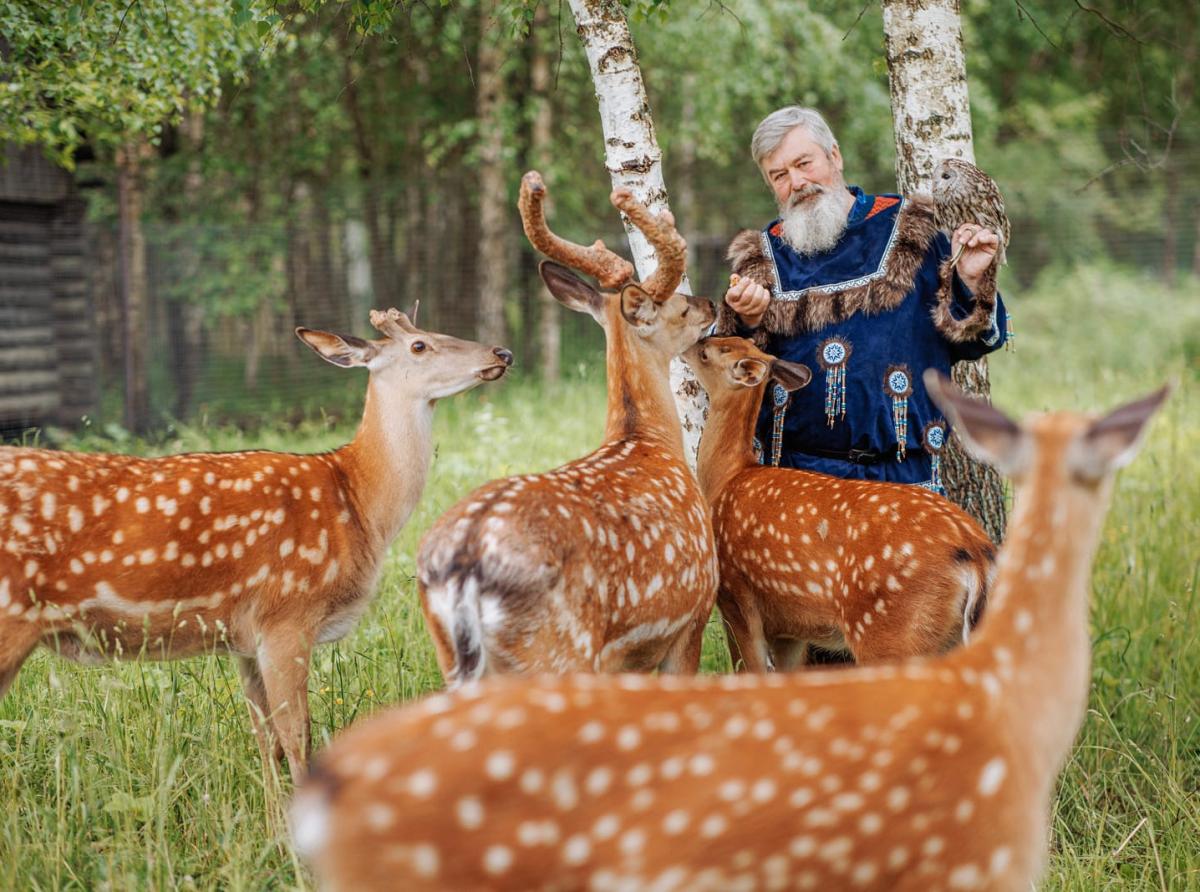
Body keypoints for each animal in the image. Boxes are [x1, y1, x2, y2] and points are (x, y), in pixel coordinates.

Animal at [0, 309, 511, 777]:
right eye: (420, 345)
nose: (501, 353)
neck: (359, 505)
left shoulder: (243, 637)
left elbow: (267, 741)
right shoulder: (288, 613)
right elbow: (298, 736)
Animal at [290, 372, 1161, 892]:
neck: (728, 477)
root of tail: (975, 550)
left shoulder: (738, 600)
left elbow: (753, 675)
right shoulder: (797, 624)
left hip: (892, 632)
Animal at [417, 172, 715, 681]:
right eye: (679, 307)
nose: (713, 305)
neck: (647, 438)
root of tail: (464, 565)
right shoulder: (690, 618)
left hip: (452, 658)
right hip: (560, 653)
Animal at [681, 338, 998, 672]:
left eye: (706, 352)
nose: (692, 343)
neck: (729, 476)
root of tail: (976, 552)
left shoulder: (736, 599)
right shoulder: (790, 626)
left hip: (889, 631)